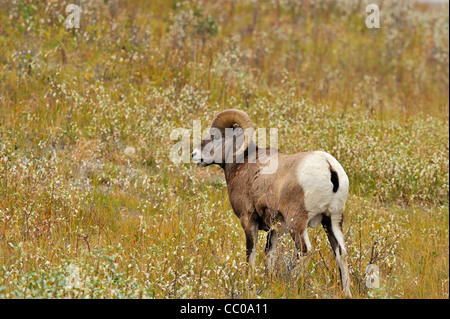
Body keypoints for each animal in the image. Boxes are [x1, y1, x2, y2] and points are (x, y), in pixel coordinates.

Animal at [190, 109, 352, 298]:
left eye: (215, 136)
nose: (194, 155)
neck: (243, 165)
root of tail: (329, 168)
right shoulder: (275, 228)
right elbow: (269, 254)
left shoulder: (249, 220)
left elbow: (250, 253)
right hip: (332, 220)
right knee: (341, 253)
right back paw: (347, 292)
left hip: (297, 223)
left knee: (305, 250)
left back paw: (290, 284)